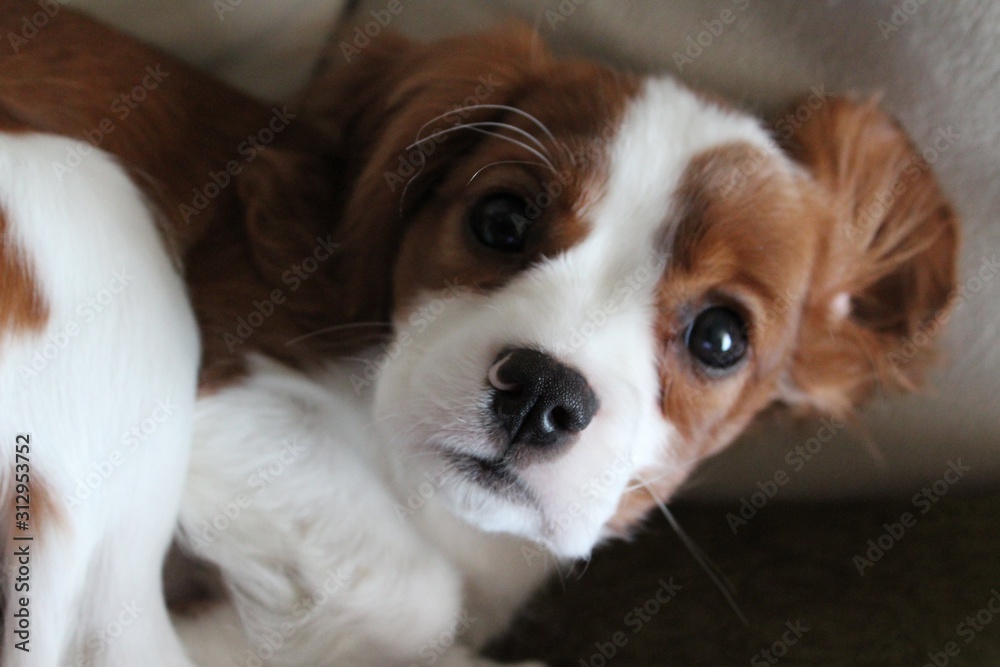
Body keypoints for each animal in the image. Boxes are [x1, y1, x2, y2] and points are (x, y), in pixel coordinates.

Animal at [0, 5, 960, 667]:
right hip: (86, 201)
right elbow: (421, 594)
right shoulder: (229, 400)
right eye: (501, 218)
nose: (540, 393)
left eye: (720, 338)